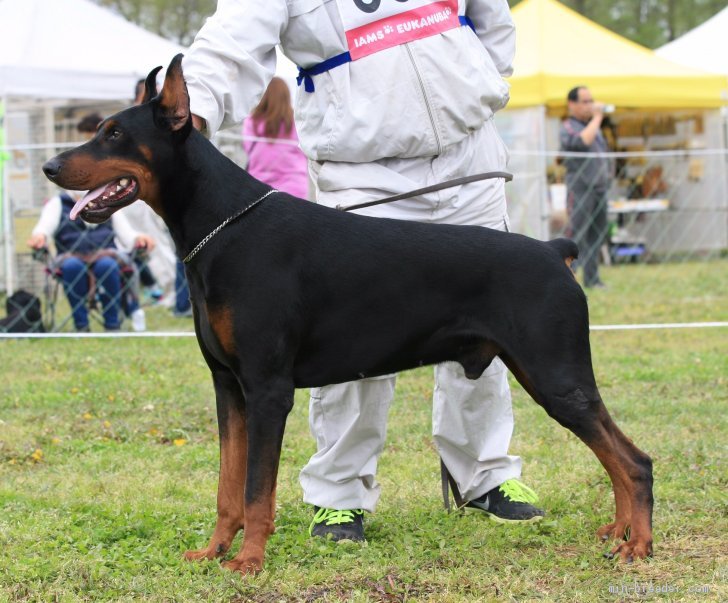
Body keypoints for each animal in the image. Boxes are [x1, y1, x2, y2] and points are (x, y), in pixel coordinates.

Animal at [41, 56, 656, 576]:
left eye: (114, 133)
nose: (49, 166)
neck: (223, 225)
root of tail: (555, 250)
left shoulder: (267, 388)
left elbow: (257, 490)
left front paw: (249, 562)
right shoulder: (228, 387)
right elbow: (227, 486)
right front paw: (213, 552)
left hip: (556, 374)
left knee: (634, 461)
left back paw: (639, 545)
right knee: (616, 458)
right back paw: (618, 532)